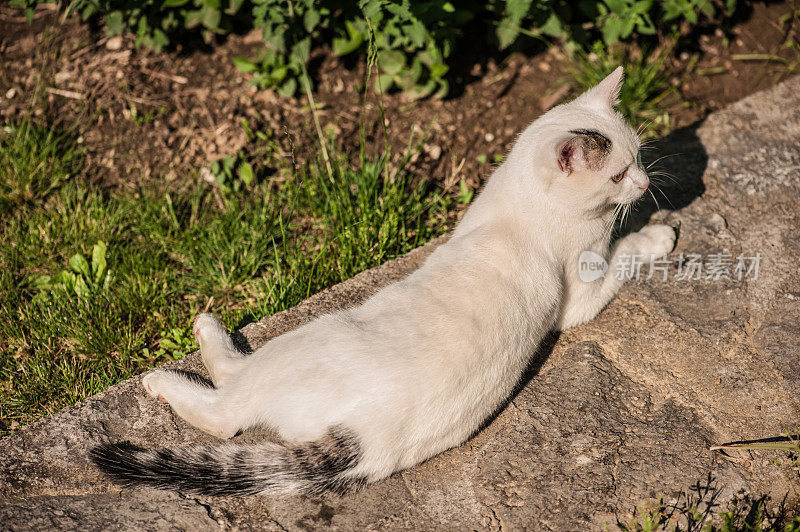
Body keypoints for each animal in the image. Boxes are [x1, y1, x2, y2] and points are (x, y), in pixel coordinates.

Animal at [92, 67, 676, 498]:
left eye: (638, 158)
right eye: (619, 173)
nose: (644, 182)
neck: (522, 205)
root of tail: (357, 440)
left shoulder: (585, 291)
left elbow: (624, 251)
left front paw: (654, 231)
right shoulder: (582, 293)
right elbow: (625, 252)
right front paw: (656, 232)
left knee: (228, 413)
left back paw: (189, 348)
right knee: (228, 410)